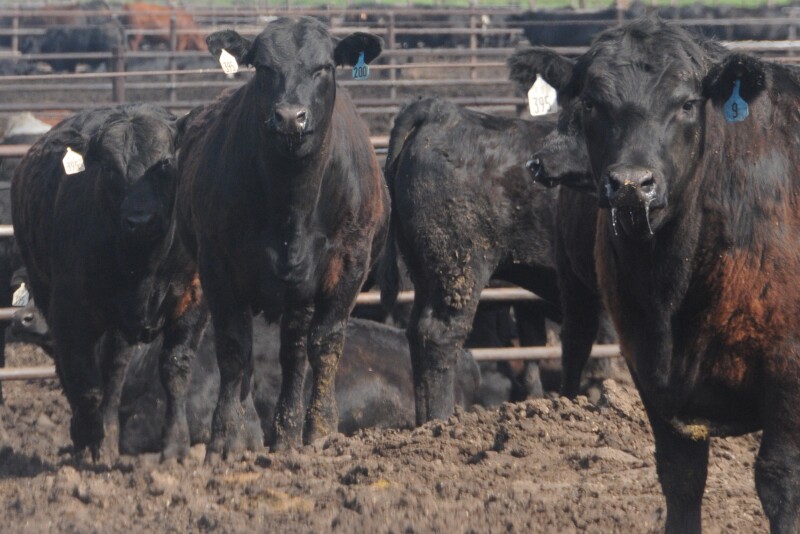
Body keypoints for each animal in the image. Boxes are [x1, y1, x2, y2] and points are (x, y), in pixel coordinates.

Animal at [11, 104, 206, 463]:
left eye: (165, 163)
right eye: (109, 169)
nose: (141, 220)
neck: (143, 264)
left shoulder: (194, 299)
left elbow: (175, 370)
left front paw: (176, 447)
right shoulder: (69, 312)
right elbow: (84, 382)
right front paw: (88, 442)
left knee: (115, 371)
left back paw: (111, 434)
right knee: (75, 373)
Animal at [177, 17, 388, 457]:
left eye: (325, 67)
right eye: (263, 67)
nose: (291, 117)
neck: (292, 204)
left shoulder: (347, 265)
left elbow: (321, 346)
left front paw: (315, 430)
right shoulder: (217, 267)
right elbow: (234, 349)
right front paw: (225, 436)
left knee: (294, 352)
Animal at [380, 97, 568, 425]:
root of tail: (442, 111)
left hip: (427, 271)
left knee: (417, 334)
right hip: (460, 266)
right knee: (439, 335)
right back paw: (441, 420)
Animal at [522, 17, 800, 531]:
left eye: (687, 103)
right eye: (590, 103)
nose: (633, 184)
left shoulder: (788, 372)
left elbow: (780, 480)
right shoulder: (651, 372)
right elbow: (680, 479)